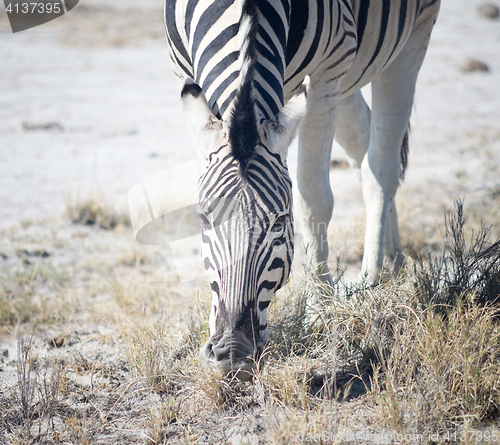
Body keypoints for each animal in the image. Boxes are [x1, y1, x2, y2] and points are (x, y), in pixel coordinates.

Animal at [165, 0, 442, 378]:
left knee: (381, 166)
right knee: (363, 146)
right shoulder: (182, 70)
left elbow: (314, 199)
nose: (232, 354)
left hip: (411, 37)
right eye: (204, 221)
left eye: (280, 223)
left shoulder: (327, 69)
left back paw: (372, 281)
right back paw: (395, 260)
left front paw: (319, 314)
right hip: (351, 73)